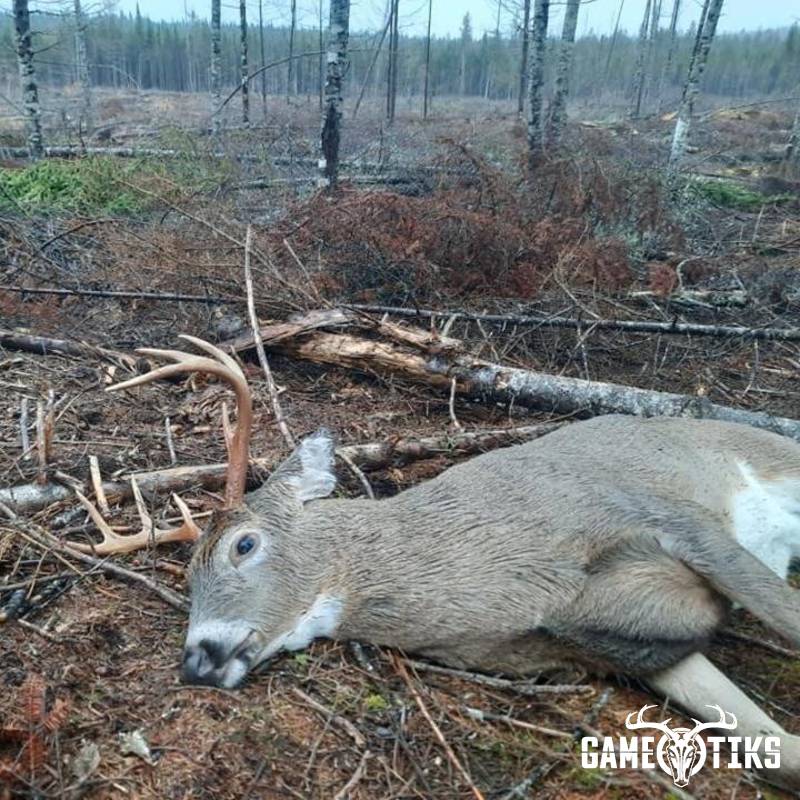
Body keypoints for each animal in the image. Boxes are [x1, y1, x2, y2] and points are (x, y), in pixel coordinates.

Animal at [70, 335, 800, 790]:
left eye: (243, 545)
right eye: (186, 576)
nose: (196, 661)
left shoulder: (667, 515)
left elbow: (783, 613)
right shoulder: (636, 645)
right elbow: (781, 754)